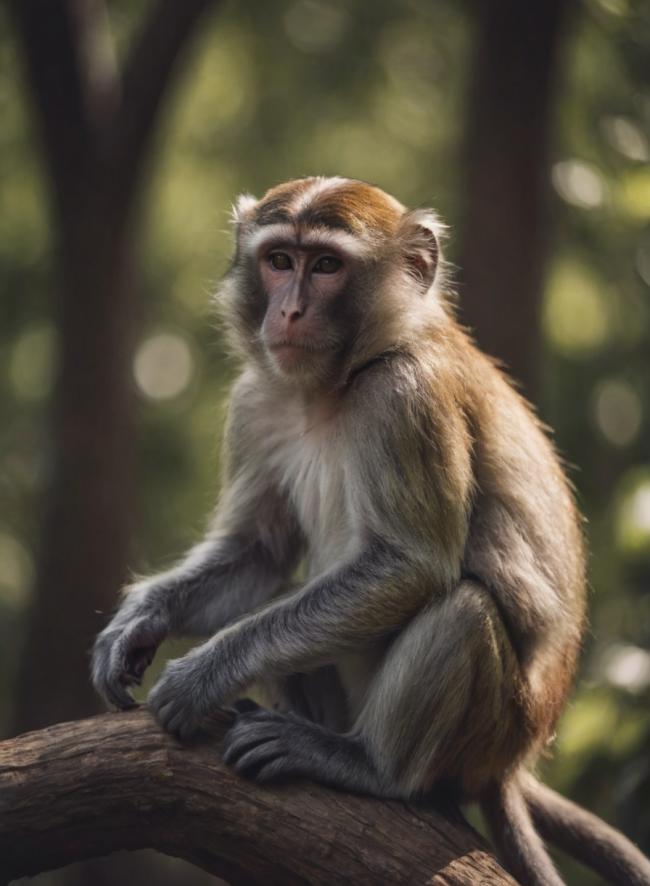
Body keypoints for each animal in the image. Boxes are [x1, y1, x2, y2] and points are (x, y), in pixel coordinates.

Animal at [92, 176, 650, 886]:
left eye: (327, 265)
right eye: (280, 261)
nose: (289, 312)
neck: (335, 384)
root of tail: (510, 764)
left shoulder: (404, 396)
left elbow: (411, 566)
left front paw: (202, 676)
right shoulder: (255, 400)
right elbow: (259, 554)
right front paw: (138, 623)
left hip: (493, 728)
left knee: (462, 610)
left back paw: (369, 766)